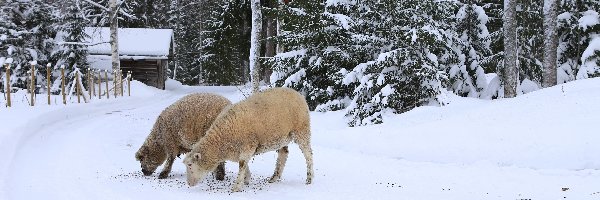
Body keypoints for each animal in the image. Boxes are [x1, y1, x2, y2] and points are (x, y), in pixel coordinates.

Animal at [183, 87, 314, 192]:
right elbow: (244, 165)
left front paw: (237, 187)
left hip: (301, 130)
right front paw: (246, 179)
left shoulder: (248, 146)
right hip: (281, 137)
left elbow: (242, 165)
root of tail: (297, 93)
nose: (189, 184)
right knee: (284, 153)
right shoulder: (240, 151)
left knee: (308, 154)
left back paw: (309, 178)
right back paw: (274, 177)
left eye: (190, 165)